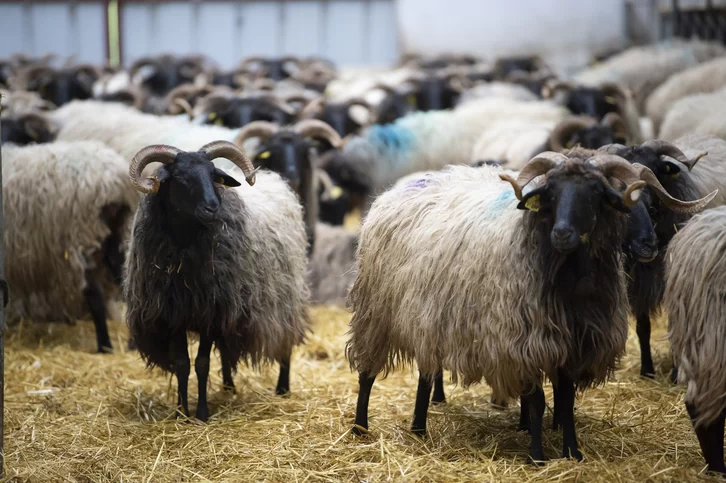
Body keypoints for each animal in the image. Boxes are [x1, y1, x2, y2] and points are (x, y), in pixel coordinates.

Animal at [2, 141, 139, 352]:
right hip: (118, 230)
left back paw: (104, 345)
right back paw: (131, 342)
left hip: (79, 239)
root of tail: (112, 182)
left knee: (94, 294)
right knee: (124, 277)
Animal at [125, 140, 309, 421]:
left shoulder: (210, 314)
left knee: (285, 343)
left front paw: (201, 413)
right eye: (179, 176)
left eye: (213, 175)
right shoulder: (173, 314)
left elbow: (202, 364)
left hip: (285, 299)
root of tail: (275, 179)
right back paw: (228, 387)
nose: (212, 207)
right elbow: (182, 364)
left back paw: (282, 389)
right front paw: (180, 413)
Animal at [346, 152, 714, 462]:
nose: (563, 233)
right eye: (551, 192)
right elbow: (536, 401)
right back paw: (360, 427)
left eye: (597, 193)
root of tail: (397, 188)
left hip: (429, 317)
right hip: (374, 313)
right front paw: (536, 454)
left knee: (425, 373)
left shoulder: (574, 342)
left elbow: (565, 401)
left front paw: (571, 451)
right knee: (367, 373)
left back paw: (419, 427)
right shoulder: (526, 340)